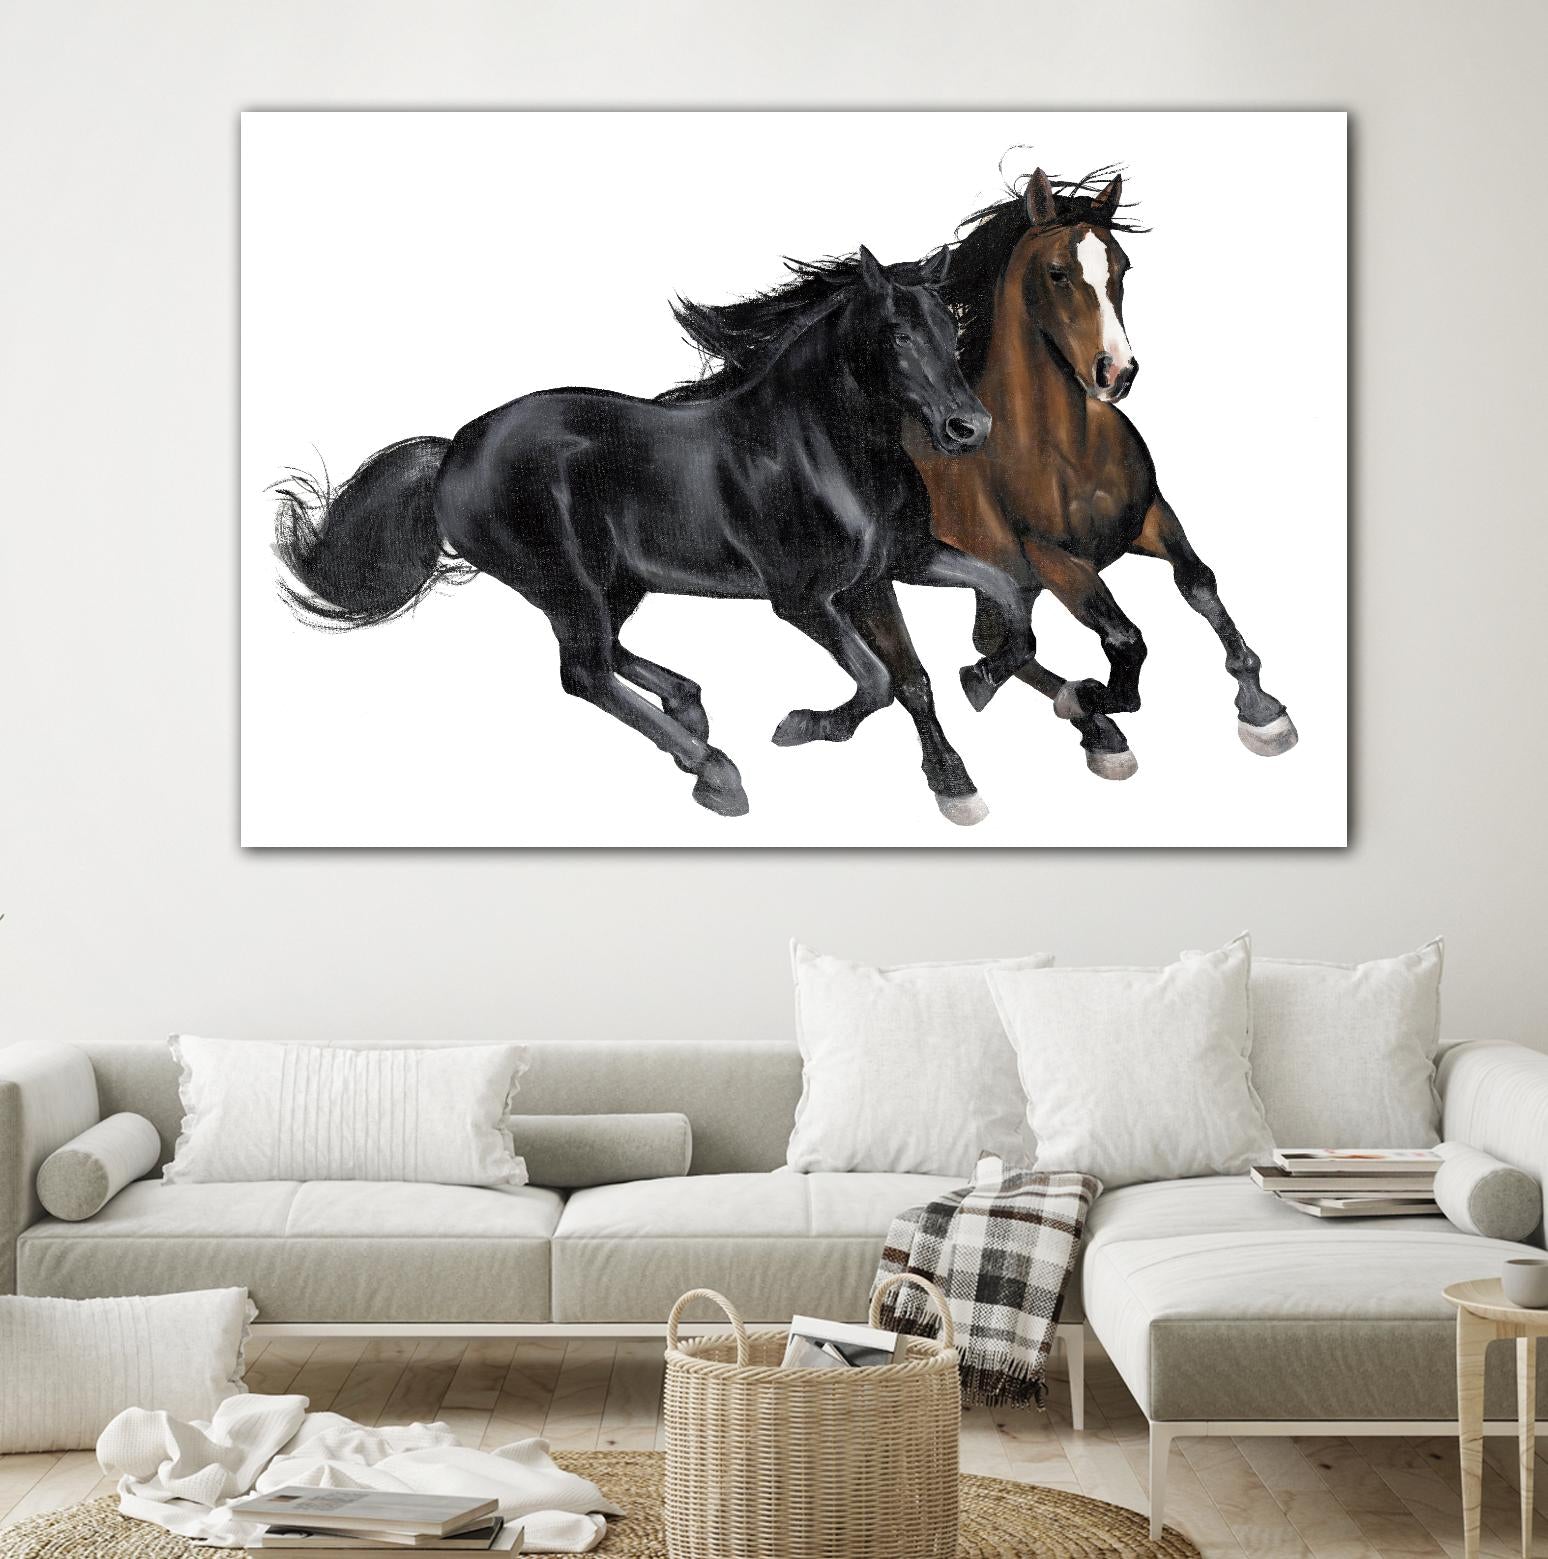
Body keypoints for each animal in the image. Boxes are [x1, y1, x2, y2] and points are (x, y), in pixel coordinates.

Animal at [274, 247, 1037, 823]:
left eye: (950, 329)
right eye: (899, 334)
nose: (969, 429)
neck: (820, 448)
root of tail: (455, 449)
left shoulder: (892, 569)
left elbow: (968, 628)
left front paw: (964, 752)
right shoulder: (803, 598)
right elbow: (878, 679)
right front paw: (802, 726)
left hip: (616, 582)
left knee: (604, 654)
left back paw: (690, 708)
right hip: (566, 583)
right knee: (584, 671)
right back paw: (717, 772)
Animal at [674, 169, 1298, 779]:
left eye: (1122, 267)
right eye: (1058, 273)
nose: (1115, 373)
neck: (1065, 448)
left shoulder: (1150, 519)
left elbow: (1199, 583)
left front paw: (1262, 710)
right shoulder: (1052, 558)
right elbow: (1124, 641)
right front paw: (1091, 700)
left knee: (995, 642)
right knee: (960, 658)